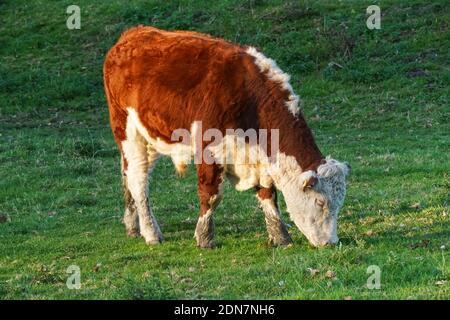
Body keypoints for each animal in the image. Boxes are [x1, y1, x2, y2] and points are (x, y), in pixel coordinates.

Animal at [103, 26, 350, 249]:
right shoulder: (209, 149)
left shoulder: (260, 160)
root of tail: (132, 34)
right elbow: (211, 195)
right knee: (138, 180)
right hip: (128, 133)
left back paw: (133, 225)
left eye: (340, 203)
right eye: (320, 201)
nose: (331, 242)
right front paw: (205, 238)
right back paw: (151, 232)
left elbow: (268, 195)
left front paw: (281, 237)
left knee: (127, 175)